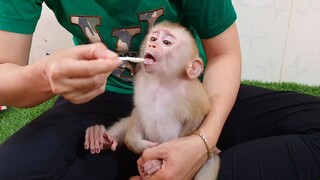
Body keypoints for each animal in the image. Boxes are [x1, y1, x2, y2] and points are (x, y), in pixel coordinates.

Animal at [84, 20, 220, 179]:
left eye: (166, 42)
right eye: (154, 39)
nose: (152, 45)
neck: (162, 82)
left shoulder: (195, 96)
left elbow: (196, 122)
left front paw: (157, 163)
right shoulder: (141, 81)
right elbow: (138, 112)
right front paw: (137, 144)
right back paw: (102, 137)